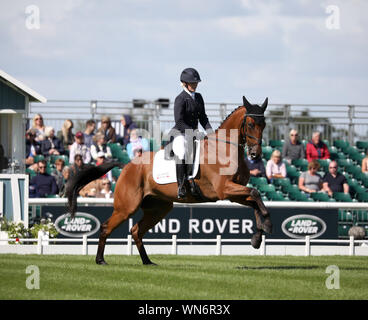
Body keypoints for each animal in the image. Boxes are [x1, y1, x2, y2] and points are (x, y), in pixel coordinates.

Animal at [66, 96, 272, 266]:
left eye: (264, 124)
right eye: (251, 124)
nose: (255, 154)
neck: (224, 149)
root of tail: (127, 165)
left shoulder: (233, 192)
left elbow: (255, 201)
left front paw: (258, 237)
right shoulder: (225, 190)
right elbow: (255, 193)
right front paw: (267, 224)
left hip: (159, 208)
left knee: (136, 230)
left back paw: (147, 261)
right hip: (127, 207)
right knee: (107, 227)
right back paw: (100, 260)